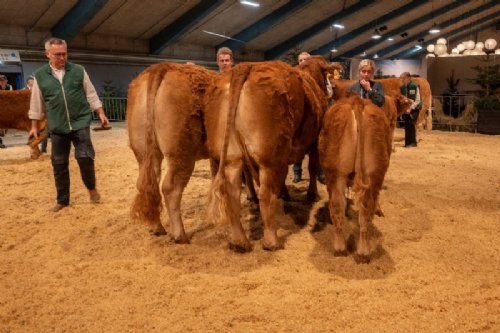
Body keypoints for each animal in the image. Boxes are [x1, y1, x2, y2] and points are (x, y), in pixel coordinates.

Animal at [127, 61, 215, 239]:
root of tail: (162, 66)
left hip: (145, 153)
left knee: (147, 184)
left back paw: (156, 227)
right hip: (181, 153)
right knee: (170, 188)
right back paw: (180, 235)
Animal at [204, 55, 340, 250]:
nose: (332, 89)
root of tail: (245, 66)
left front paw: (285, 193)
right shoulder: (315, 141)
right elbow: (313, 168)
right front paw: (312, 194)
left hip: (232, 157)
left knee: (232, 191)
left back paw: (240, 241)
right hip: (270, 156)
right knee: (266, 194)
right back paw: (271, 241)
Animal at [320, 93, 410, 262]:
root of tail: (357, 102)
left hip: (339, 173)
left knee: (343, 205)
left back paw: (346, 249)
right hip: (361, 173)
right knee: (360, 207)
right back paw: (359, 250)